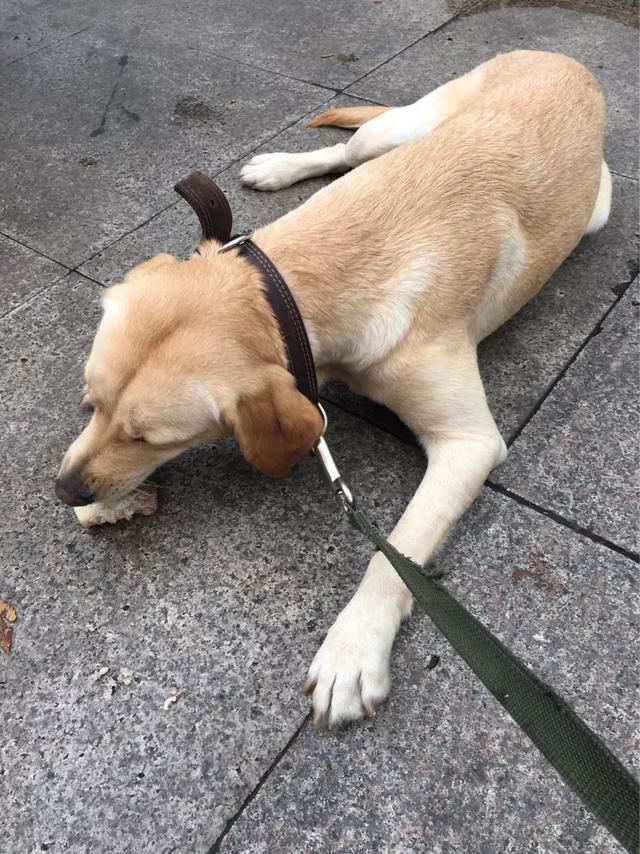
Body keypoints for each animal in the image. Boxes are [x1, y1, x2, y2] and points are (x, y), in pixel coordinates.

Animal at [56, 48, 608, 728]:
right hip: (396, 129)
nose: (64, 491)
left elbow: (394, 552)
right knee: (346, 150)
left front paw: (354, 648)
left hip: (592, 206)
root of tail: (564, 56)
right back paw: (278, 166)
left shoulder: (469, 444)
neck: (295, 284)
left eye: (149, 438)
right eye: (92, 400)